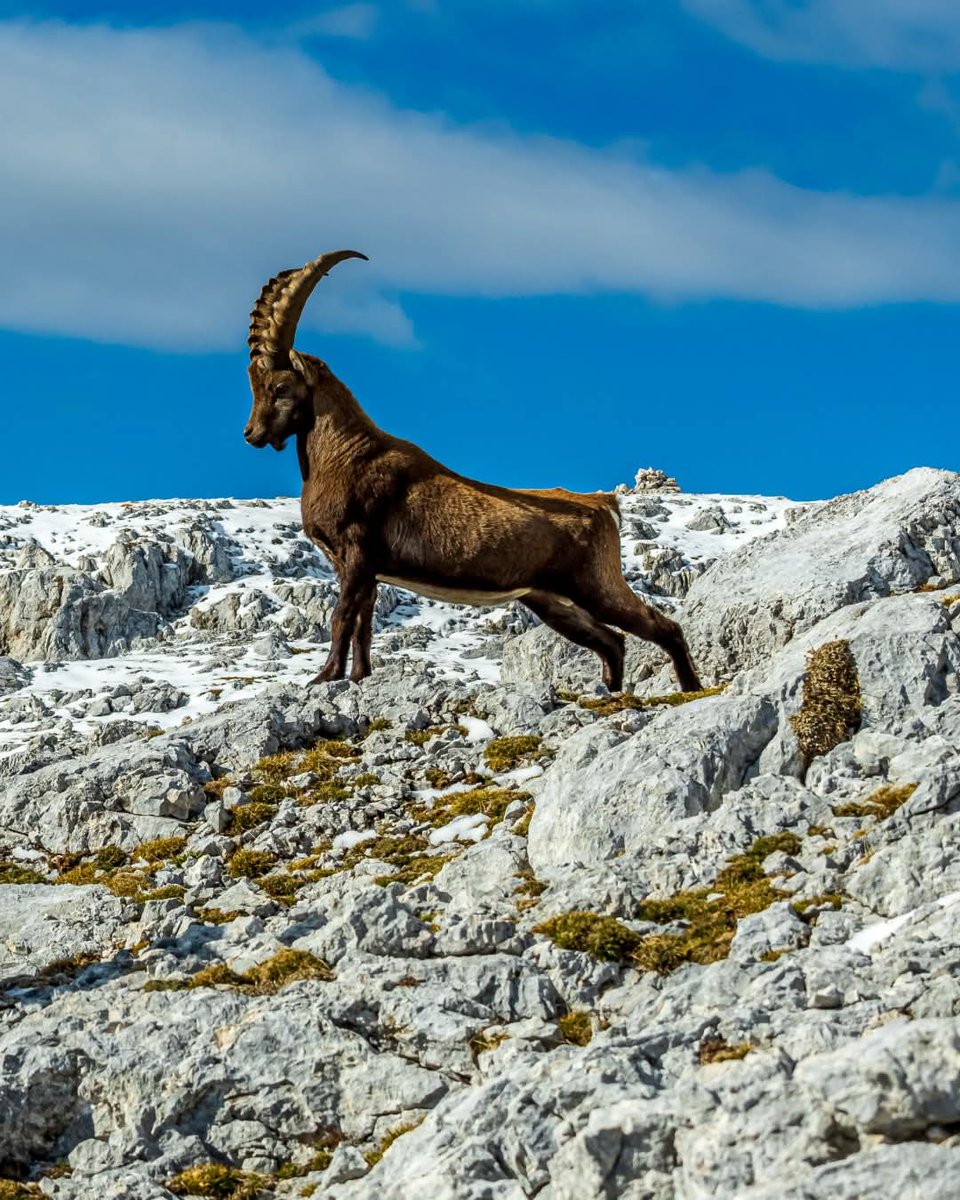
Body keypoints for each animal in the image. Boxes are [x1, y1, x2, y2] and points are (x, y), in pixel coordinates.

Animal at [244, 250, 702, 693]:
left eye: (280, 387)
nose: (252, 434)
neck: (344, 455)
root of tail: (603, 504)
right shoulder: (363, 568)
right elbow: (364, 624)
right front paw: (357, 677)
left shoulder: (357, 554)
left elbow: (342, 617)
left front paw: (324, 677)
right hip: (552, 600)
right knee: (612, 642)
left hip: (595, 585)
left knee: (664, 627)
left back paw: (690, 688)